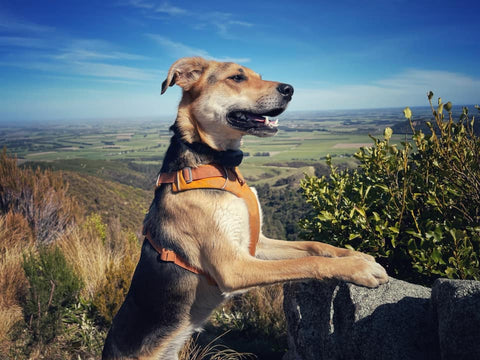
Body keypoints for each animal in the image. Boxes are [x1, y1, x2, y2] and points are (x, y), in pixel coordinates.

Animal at [102, 57, 390, 358]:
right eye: (237, 77)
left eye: (258, 76)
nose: (290, 89)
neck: (215, 162)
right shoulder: (234, 266)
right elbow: (307, 261)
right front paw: (358, 268)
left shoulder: (256, 244)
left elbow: (314, 246)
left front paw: (353, 254)